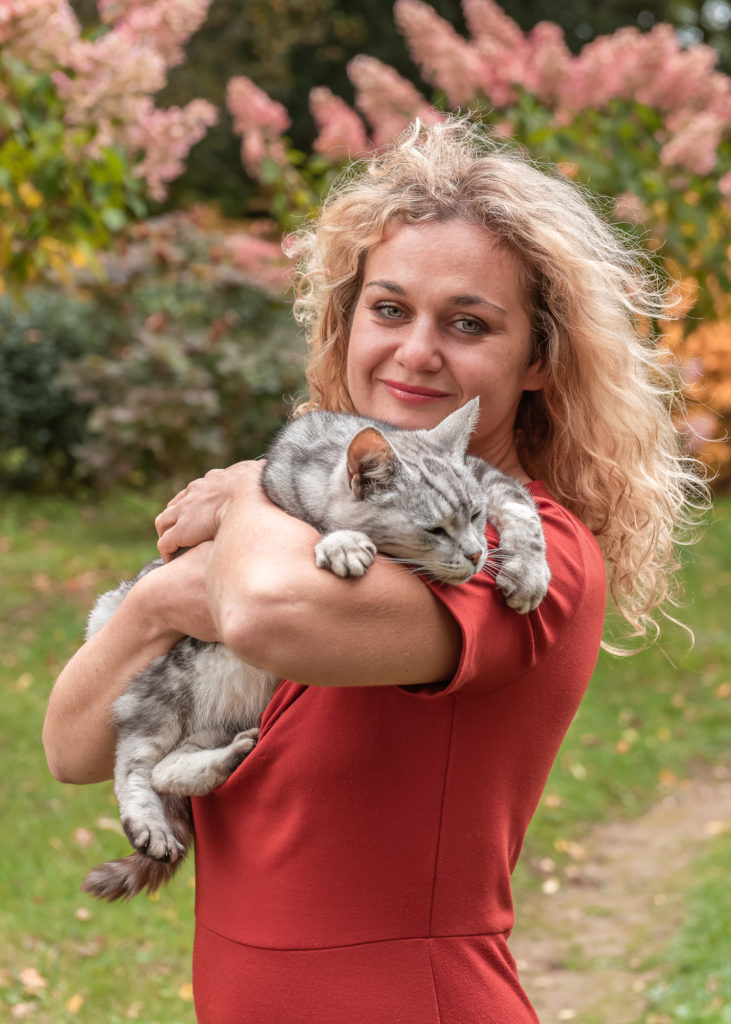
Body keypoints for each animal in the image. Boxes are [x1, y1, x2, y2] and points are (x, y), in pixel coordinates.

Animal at [79, 399, 548, 905]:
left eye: (477, 515)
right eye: (435, 530)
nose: (478, 553)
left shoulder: (487, 474)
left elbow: (519, 502)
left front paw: (527, 568)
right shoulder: (277, 499)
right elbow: (314, 526)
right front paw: (341, 543)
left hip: (223, 717)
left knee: (170, 766)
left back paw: (228, 758)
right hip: (159, 684)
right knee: (136, 763)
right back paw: (150, 823)